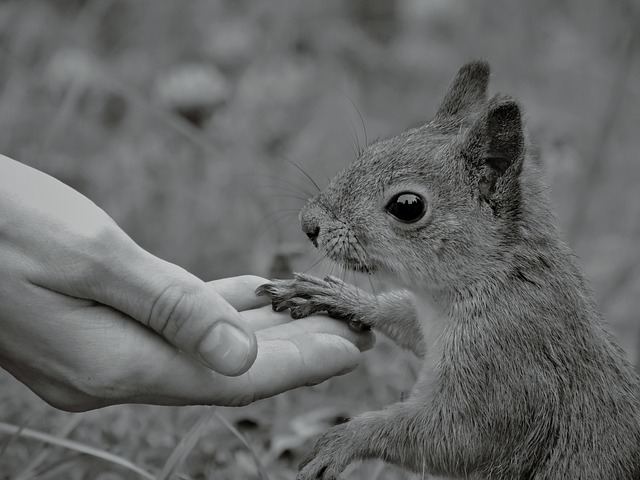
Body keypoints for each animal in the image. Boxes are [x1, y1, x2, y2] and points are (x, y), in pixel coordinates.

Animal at [255, 61, 640, 480]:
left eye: (408, 206)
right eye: (370, 152)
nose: (308, 224)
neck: (495, 277)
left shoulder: (509, 364)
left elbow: (458, 437)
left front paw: (346, 438)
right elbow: (402, 319)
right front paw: (336, 297)